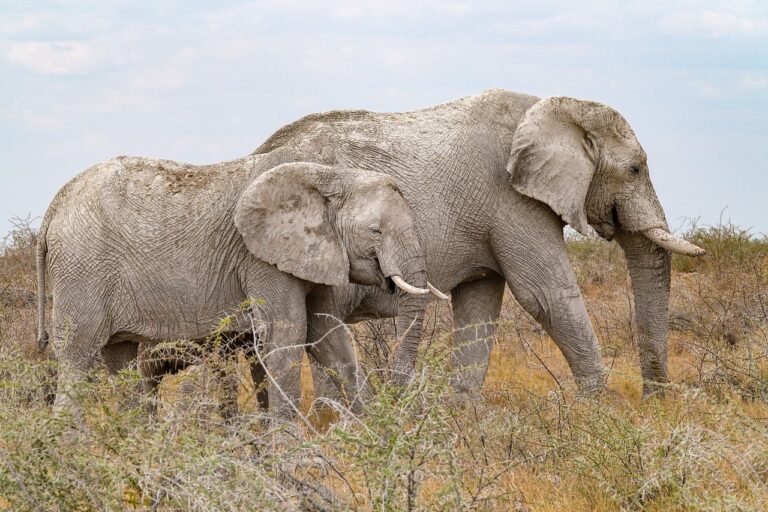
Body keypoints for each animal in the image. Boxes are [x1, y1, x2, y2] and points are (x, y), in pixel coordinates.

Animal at [36, 154, 445, 421]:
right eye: (376, 231)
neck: (332, 175)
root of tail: (53, 207)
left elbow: (329, 335)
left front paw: (370, 432)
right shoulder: (260, 258)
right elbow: (288, 332)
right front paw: (288, 450)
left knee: (119, 361)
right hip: (81, 268)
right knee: (78, 357)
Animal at [250, 89, 706, 398]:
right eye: (635, 169)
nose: (655, 398)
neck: (555, 106)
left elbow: (479, 307)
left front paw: (466, 419)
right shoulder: (511, 201)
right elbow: (546, 296)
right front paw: (601, 412)